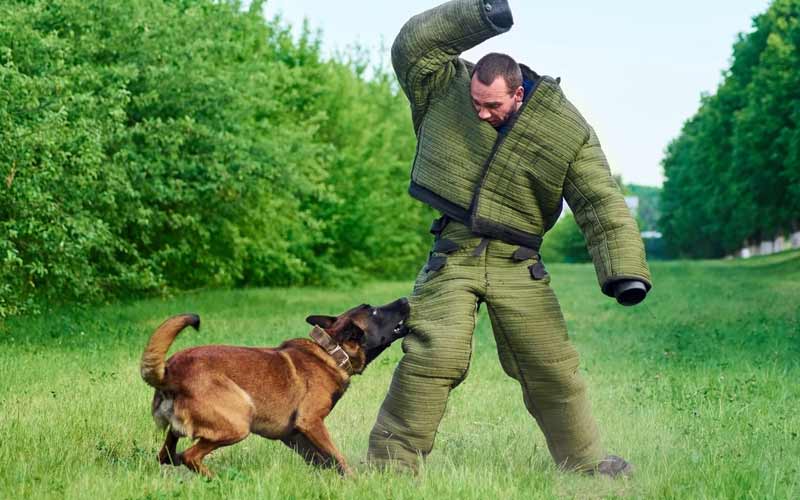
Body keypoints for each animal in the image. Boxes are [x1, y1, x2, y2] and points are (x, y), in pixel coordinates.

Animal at [138, 296, 410, 476]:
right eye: (373, 312)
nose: (405, 298)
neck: (332, 352)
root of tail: (170, 372)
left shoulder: (294, 435)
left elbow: (326, 460)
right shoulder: (311, 422)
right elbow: (338, 457)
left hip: (181, 431)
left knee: (167, 455)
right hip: (239, 421)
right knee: (189, 456)